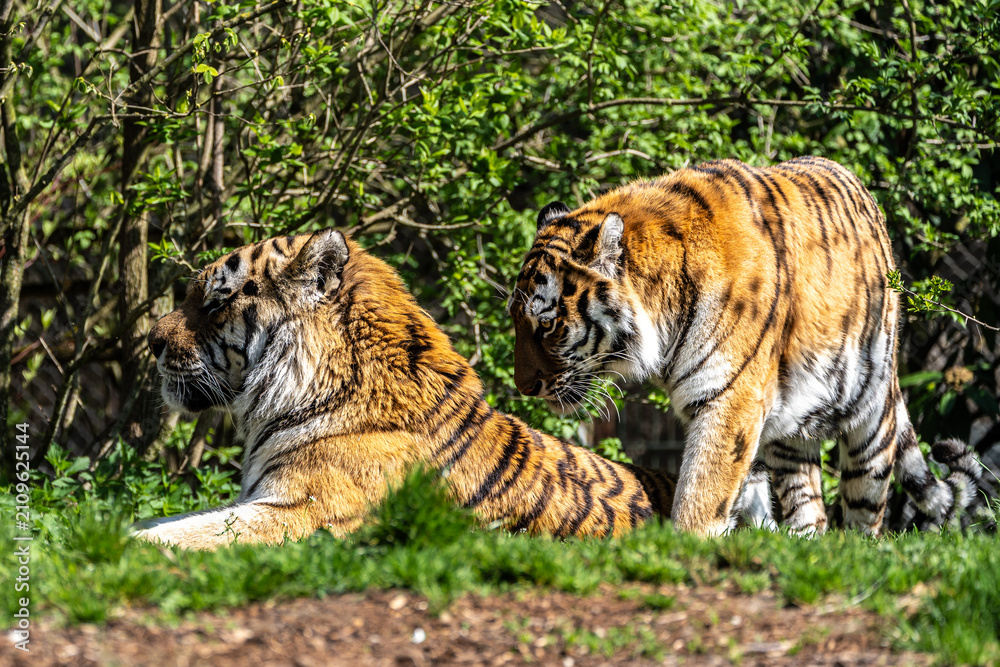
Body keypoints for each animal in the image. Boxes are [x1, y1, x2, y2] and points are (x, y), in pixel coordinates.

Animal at [509, 156, 983, 538]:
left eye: (547, 324)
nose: (524, 388)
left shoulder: (729, 396)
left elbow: (703, 488)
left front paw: (687, 544)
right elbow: (738, 489)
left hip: (870, 417)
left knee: (865, 507)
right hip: (793, 429)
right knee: (809, 506)